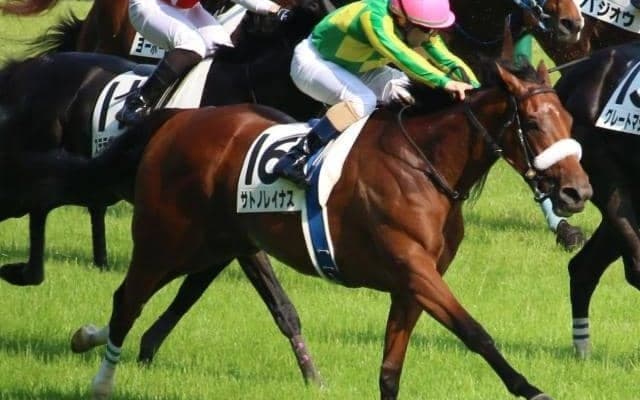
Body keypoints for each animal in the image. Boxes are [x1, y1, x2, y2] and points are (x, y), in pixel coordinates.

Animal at [0, 1, 328, 382]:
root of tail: (24, 71)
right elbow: (260, 295)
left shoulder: (229, 229)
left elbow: (191, 290)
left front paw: (143, 345)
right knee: (39, 207)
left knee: (43, 207)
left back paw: (33, 271)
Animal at [68, 34, 592, 397]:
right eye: (533, 123)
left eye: (569, 120)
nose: (577, 192)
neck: (426, 165)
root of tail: (178, 119)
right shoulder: (414, 269)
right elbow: (476, 332)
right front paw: (532, 389)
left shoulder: (412, 283)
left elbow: (390, 370)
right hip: (165, 238)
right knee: (126, 298)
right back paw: (101, 379)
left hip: (216, 243)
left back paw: (92, 340)